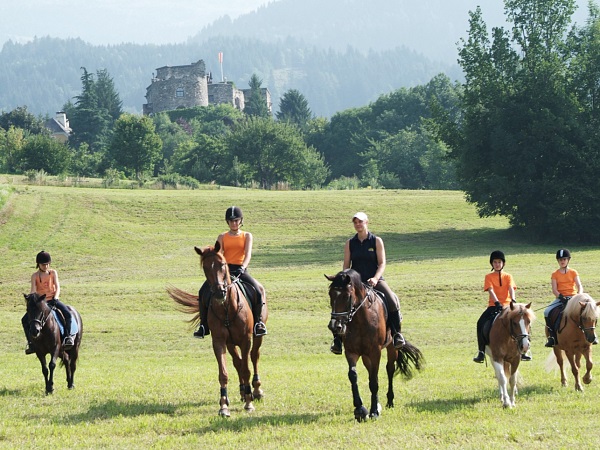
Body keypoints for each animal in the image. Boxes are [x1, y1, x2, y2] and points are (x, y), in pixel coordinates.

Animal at [166, 244, 264, 416]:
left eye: (222, 264)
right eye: (205, 267)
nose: (219, 292)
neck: (227, 308)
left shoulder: (246, 340)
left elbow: (246, 369)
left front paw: (249, 402)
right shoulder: (219, 341)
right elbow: (224, 373)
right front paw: (224, 405)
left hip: (257, 336)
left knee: (254, 356)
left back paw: (256, 391)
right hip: (230, 343)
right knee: (238, 362)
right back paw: (242, 392)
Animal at [326, 270, 424, 422]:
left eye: (346, 296)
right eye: (330, 294)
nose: (334, 326)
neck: (360, 319)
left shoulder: (375, 352)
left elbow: (374, 381)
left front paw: (373, 412)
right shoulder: (351, 352)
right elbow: (353, 376)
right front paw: (359, 409)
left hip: (391, 348)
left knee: (389, 369)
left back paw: (390, 401)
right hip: (365, 355)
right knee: (370, 371)